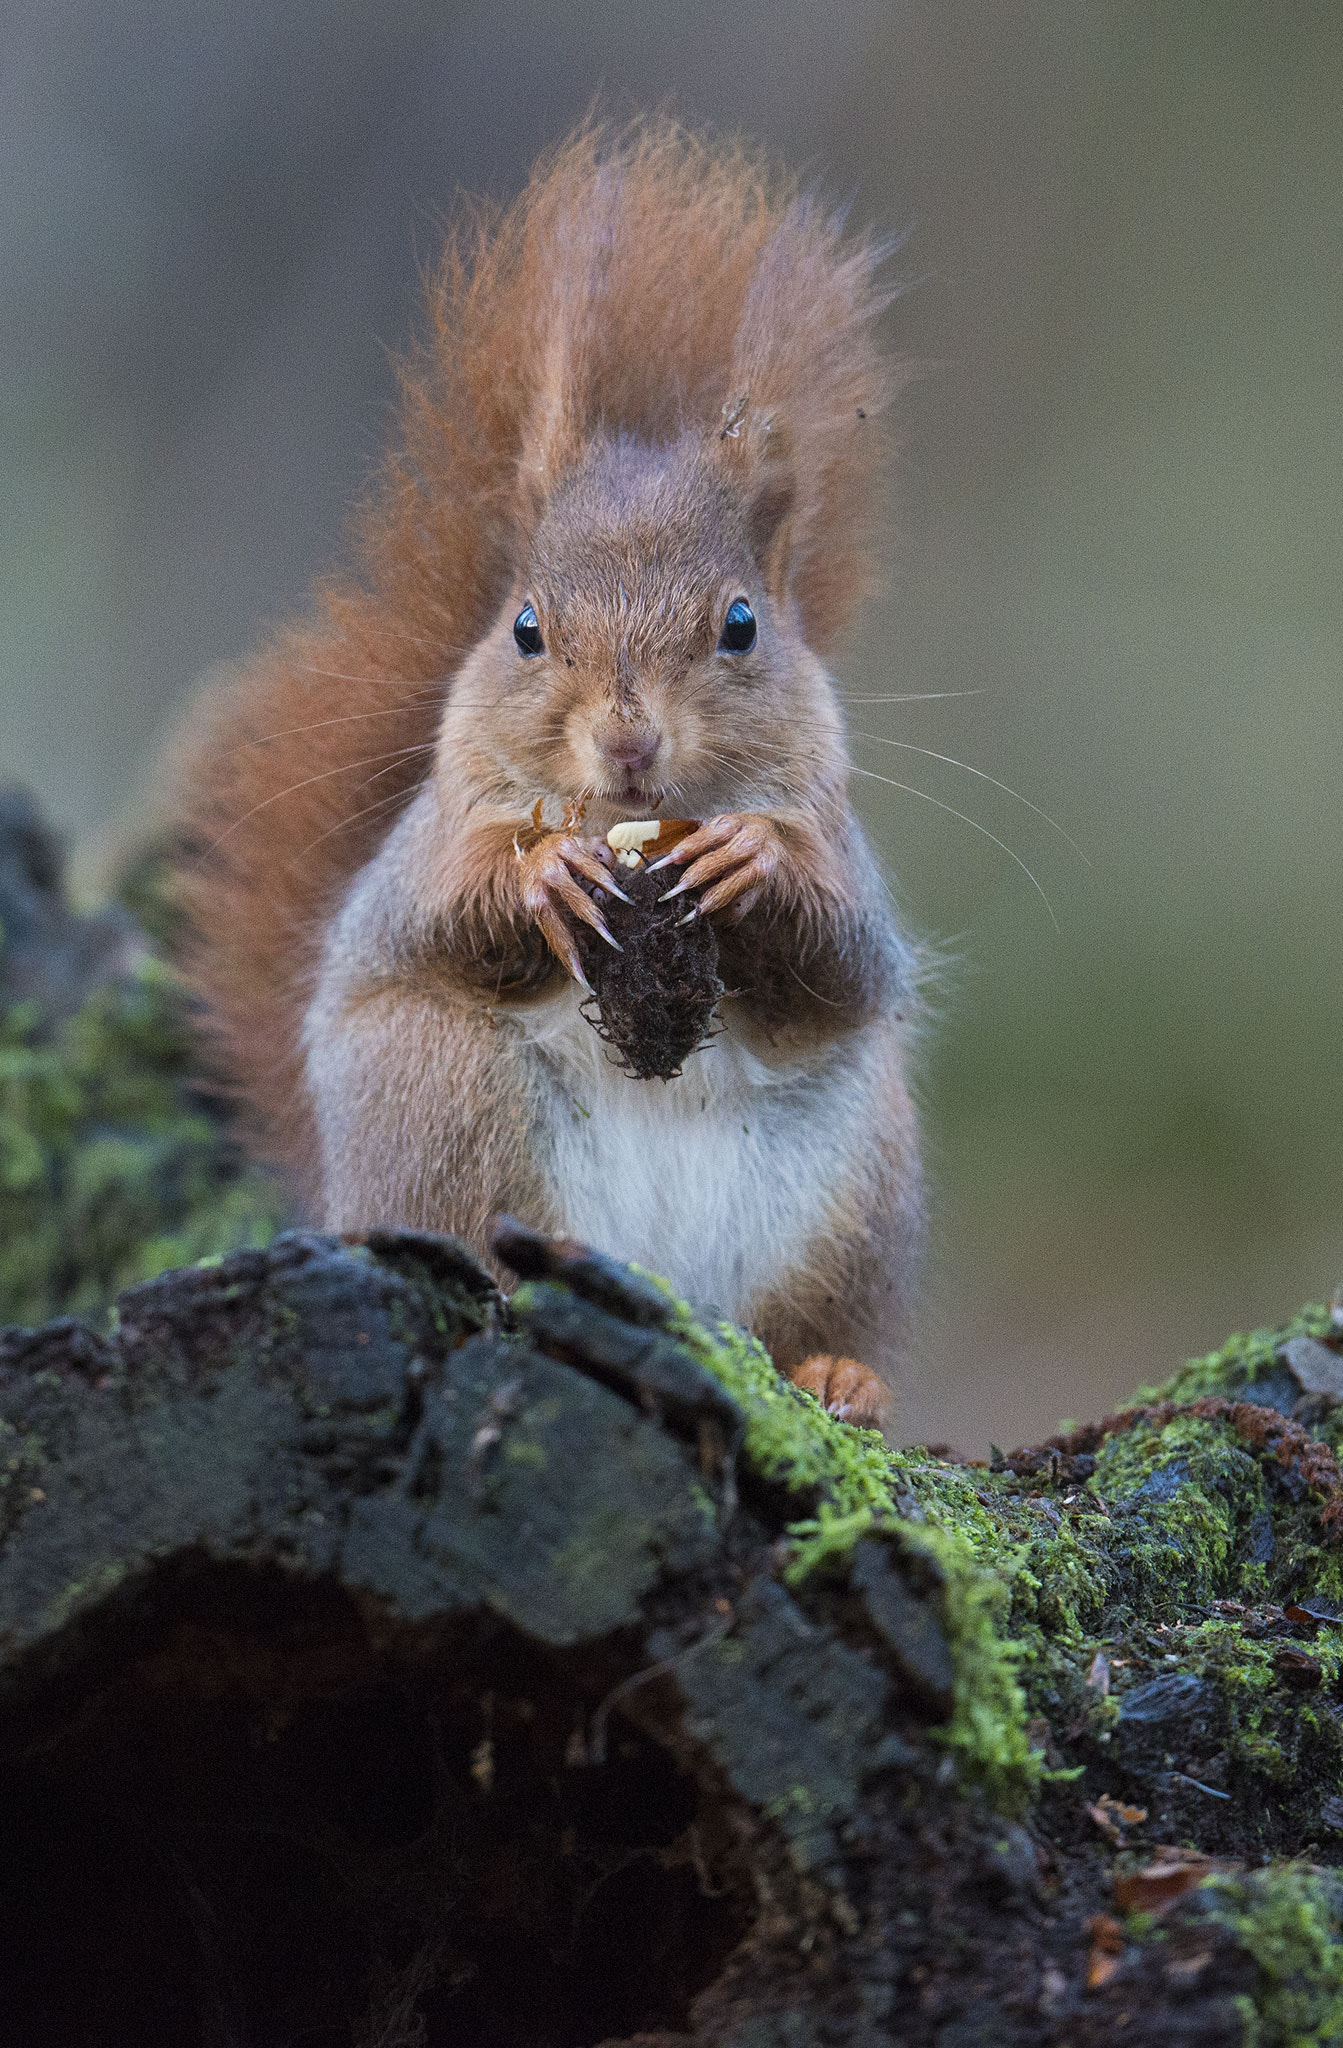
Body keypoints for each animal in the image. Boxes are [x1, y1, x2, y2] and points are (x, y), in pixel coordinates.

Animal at [178, 116, 925, 1425]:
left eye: (741, 625)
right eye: (525, 627)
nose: (627, 745)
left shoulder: (840, 842)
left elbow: (845, 957)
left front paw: (749, 856)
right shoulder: (428, 842)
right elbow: (434, 907)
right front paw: (543, 873)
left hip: (848, 1181)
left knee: (800, 1324)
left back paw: (838, 1373)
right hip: (447, 1100)